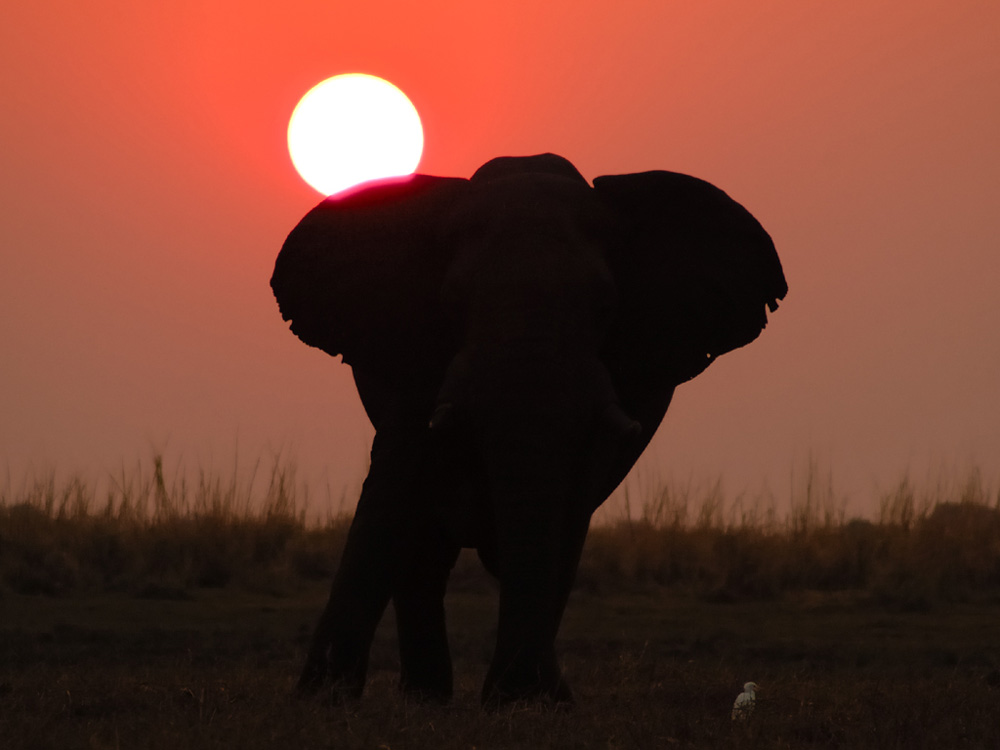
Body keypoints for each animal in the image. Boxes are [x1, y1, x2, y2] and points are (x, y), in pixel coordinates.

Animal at [270, 151, 784, 704]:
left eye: (606, 306)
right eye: (452, 302)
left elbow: (566, 508)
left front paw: (525, 700)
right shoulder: (410, 349)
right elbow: (396, 485)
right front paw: (321, 699)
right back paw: (426, 698)